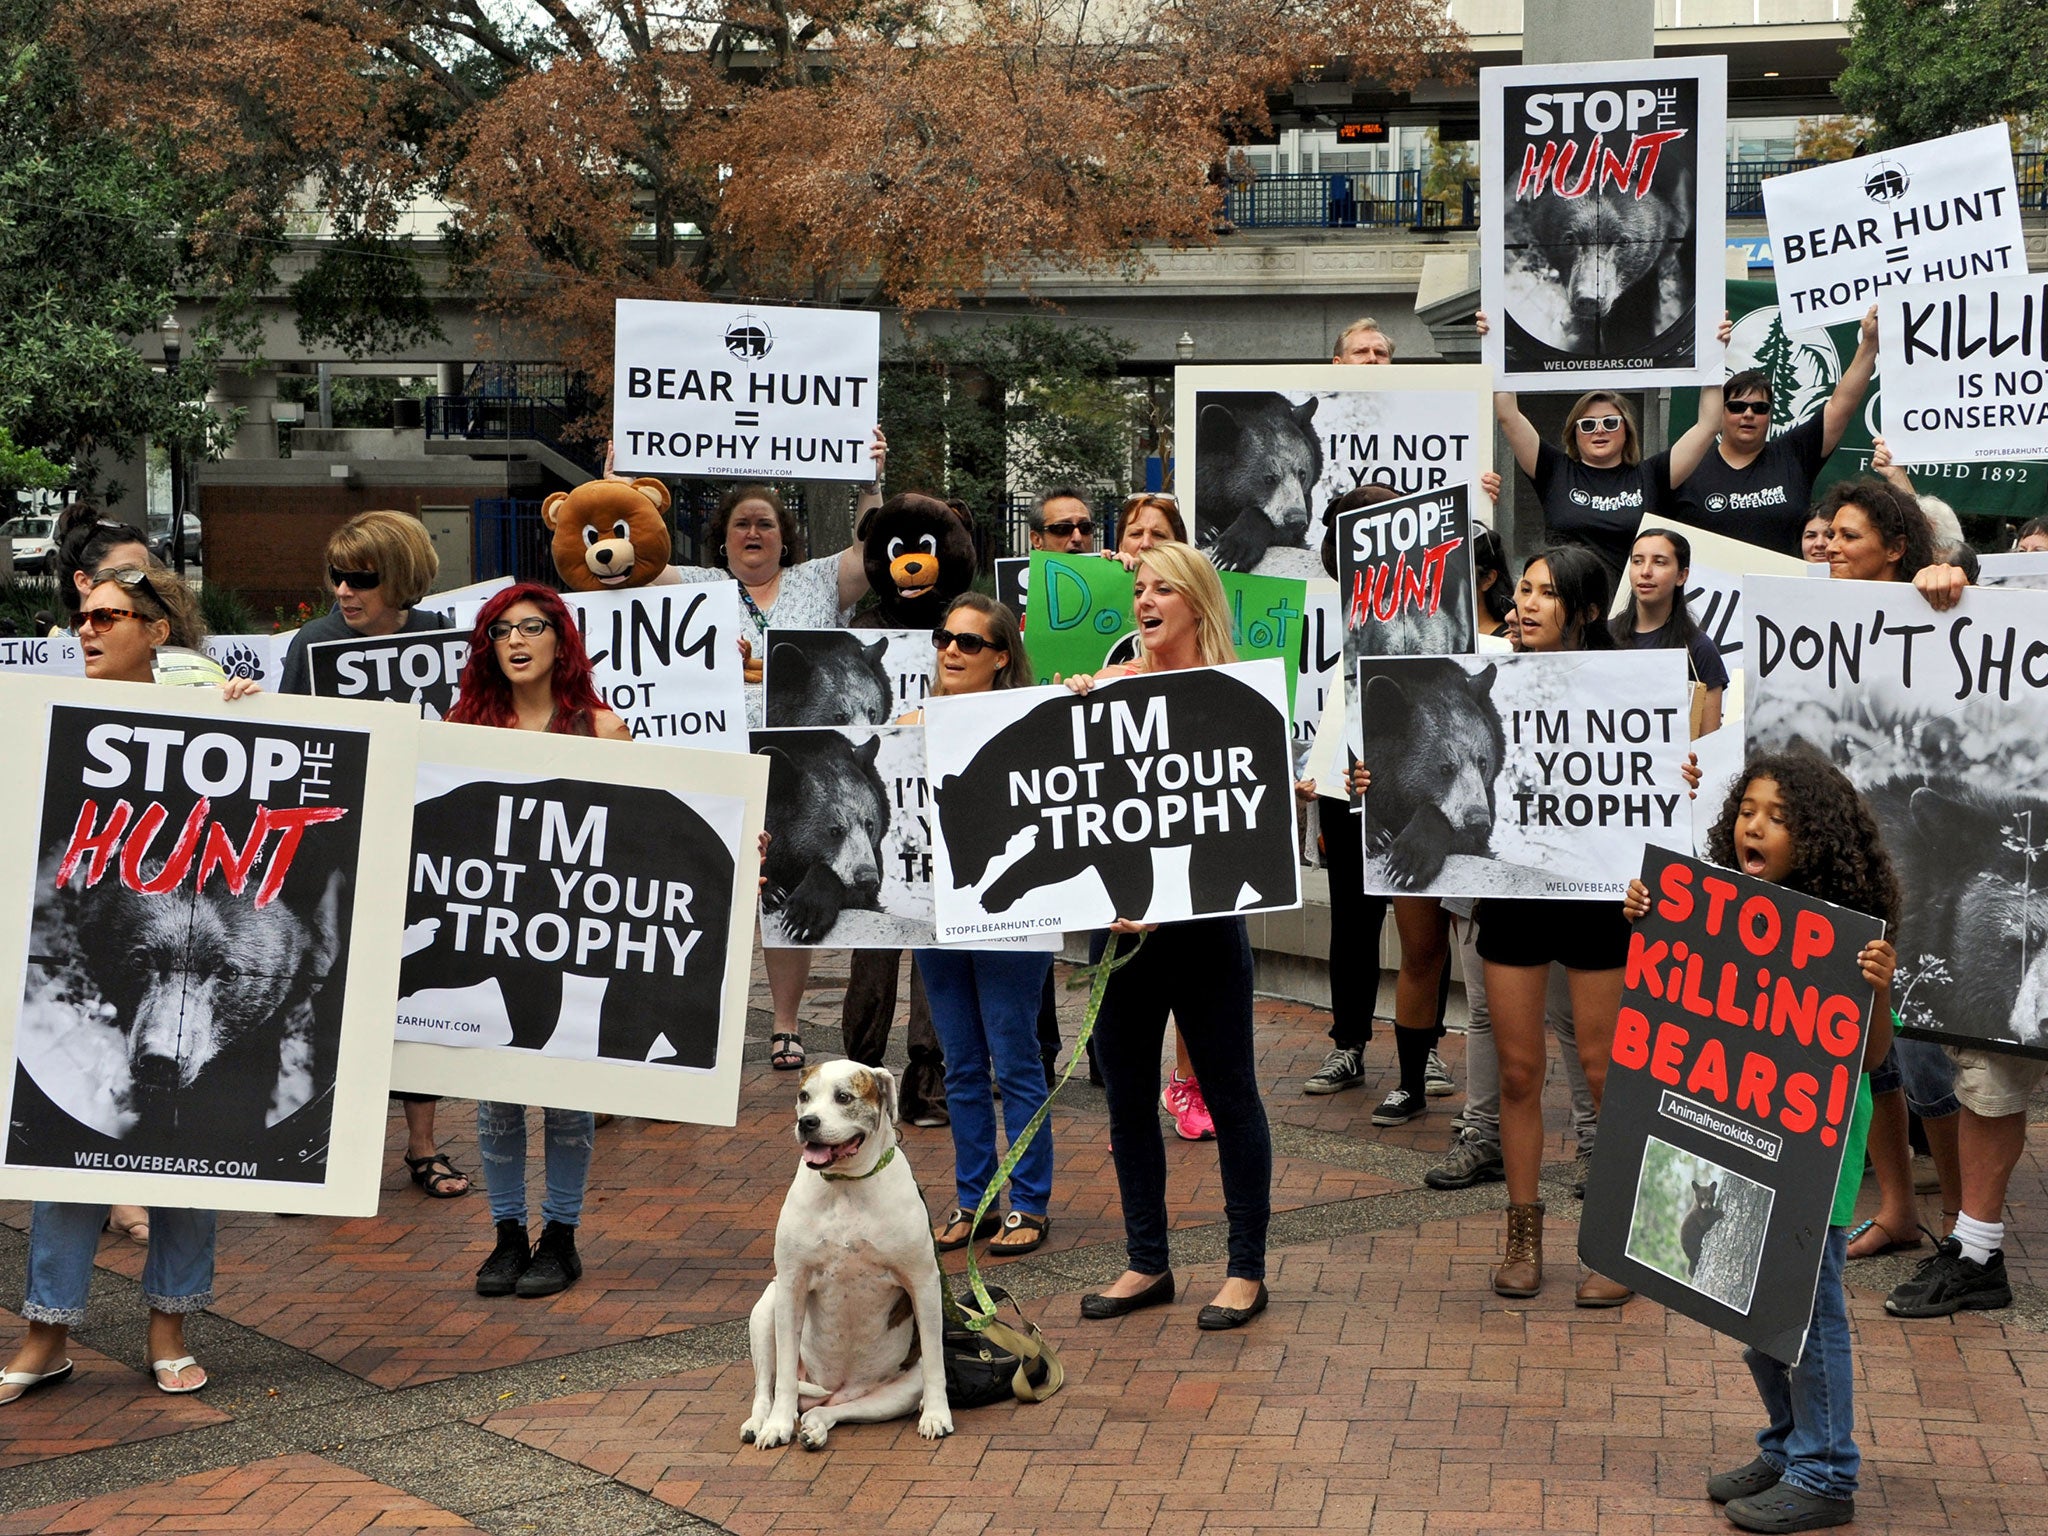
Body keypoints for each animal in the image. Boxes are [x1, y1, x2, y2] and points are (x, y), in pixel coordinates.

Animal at [741, 1064, 954, 1449]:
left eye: (844, 1097)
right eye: (803, 1095)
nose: (808, 1122)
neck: (846, 1186)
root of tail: (834, 1390)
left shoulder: (924, 1283)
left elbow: (934, 1361)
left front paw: (936, 1415)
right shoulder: (791, 1284)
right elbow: (783, 1378)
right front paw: (777, 1425)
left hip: (892, 1392)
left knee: (833, 1410)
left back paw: (815, 1428)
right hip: (767, 1307)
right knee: (768, 1385)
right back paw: (760, 1422)